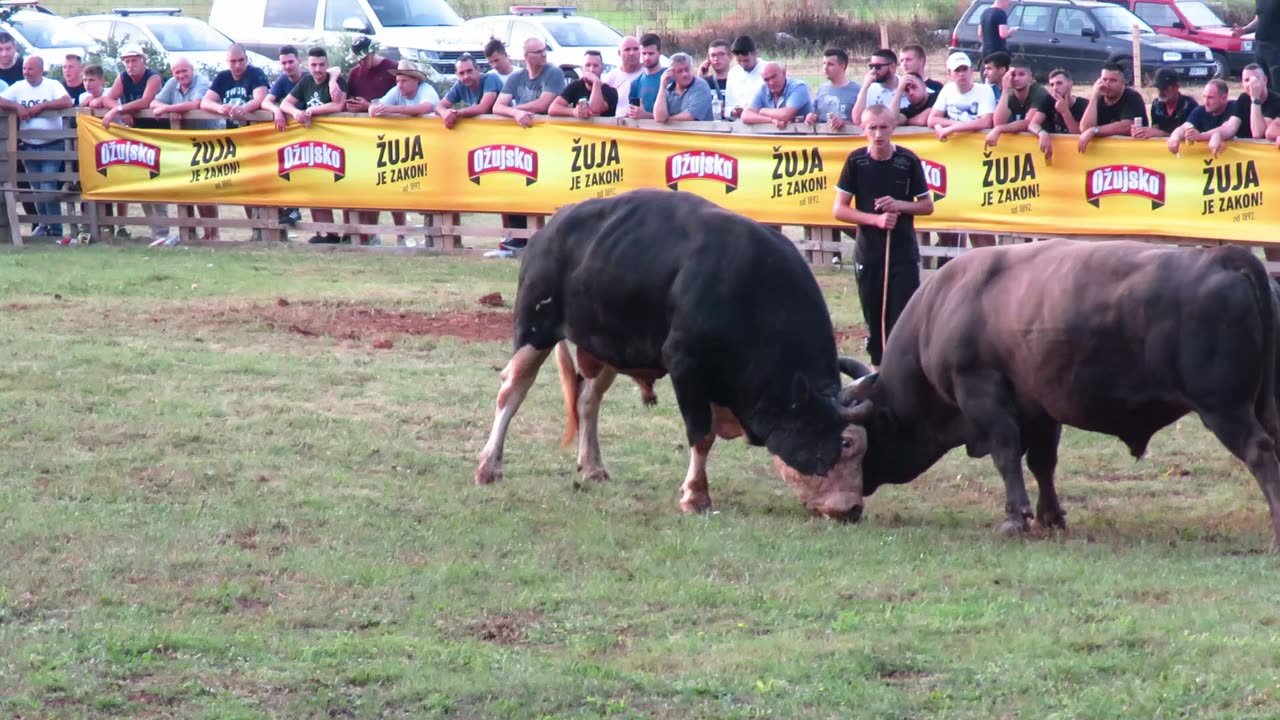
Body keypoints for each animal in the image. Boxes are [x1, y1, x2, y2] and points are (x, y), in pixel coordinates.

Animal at [844, 238, 1280, 545]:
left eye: (859, 440)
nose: (851, 499)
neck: (941, 309)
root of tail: (1227, 258)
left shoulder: (983, 396)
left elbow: (1006, 456)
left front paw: (1016, 517)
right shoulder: (1040, 409)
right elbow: (1042, 462)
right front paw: (1050, 516)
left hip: (1224, 409)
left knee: (1259, 451)